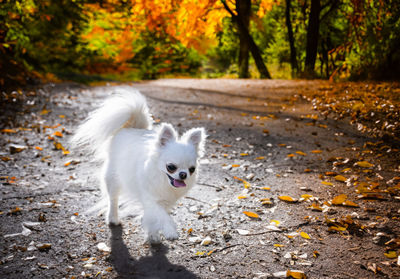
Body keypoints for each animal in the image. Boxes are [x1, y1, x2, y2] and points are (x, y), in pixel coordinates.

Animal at [72, 88, 208, 244]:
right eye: (171, 167)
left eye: (192, 169)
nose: (183, 174)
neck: (163, 180)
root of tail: (131, 127)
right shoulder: (151, 199)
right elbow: (163, 216)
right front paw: (170, 231)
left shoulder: (163, 202)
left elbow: (153, 218)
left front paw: (153, 235)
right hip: (113, 178)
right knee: (113, 199)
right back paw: (113, 218)